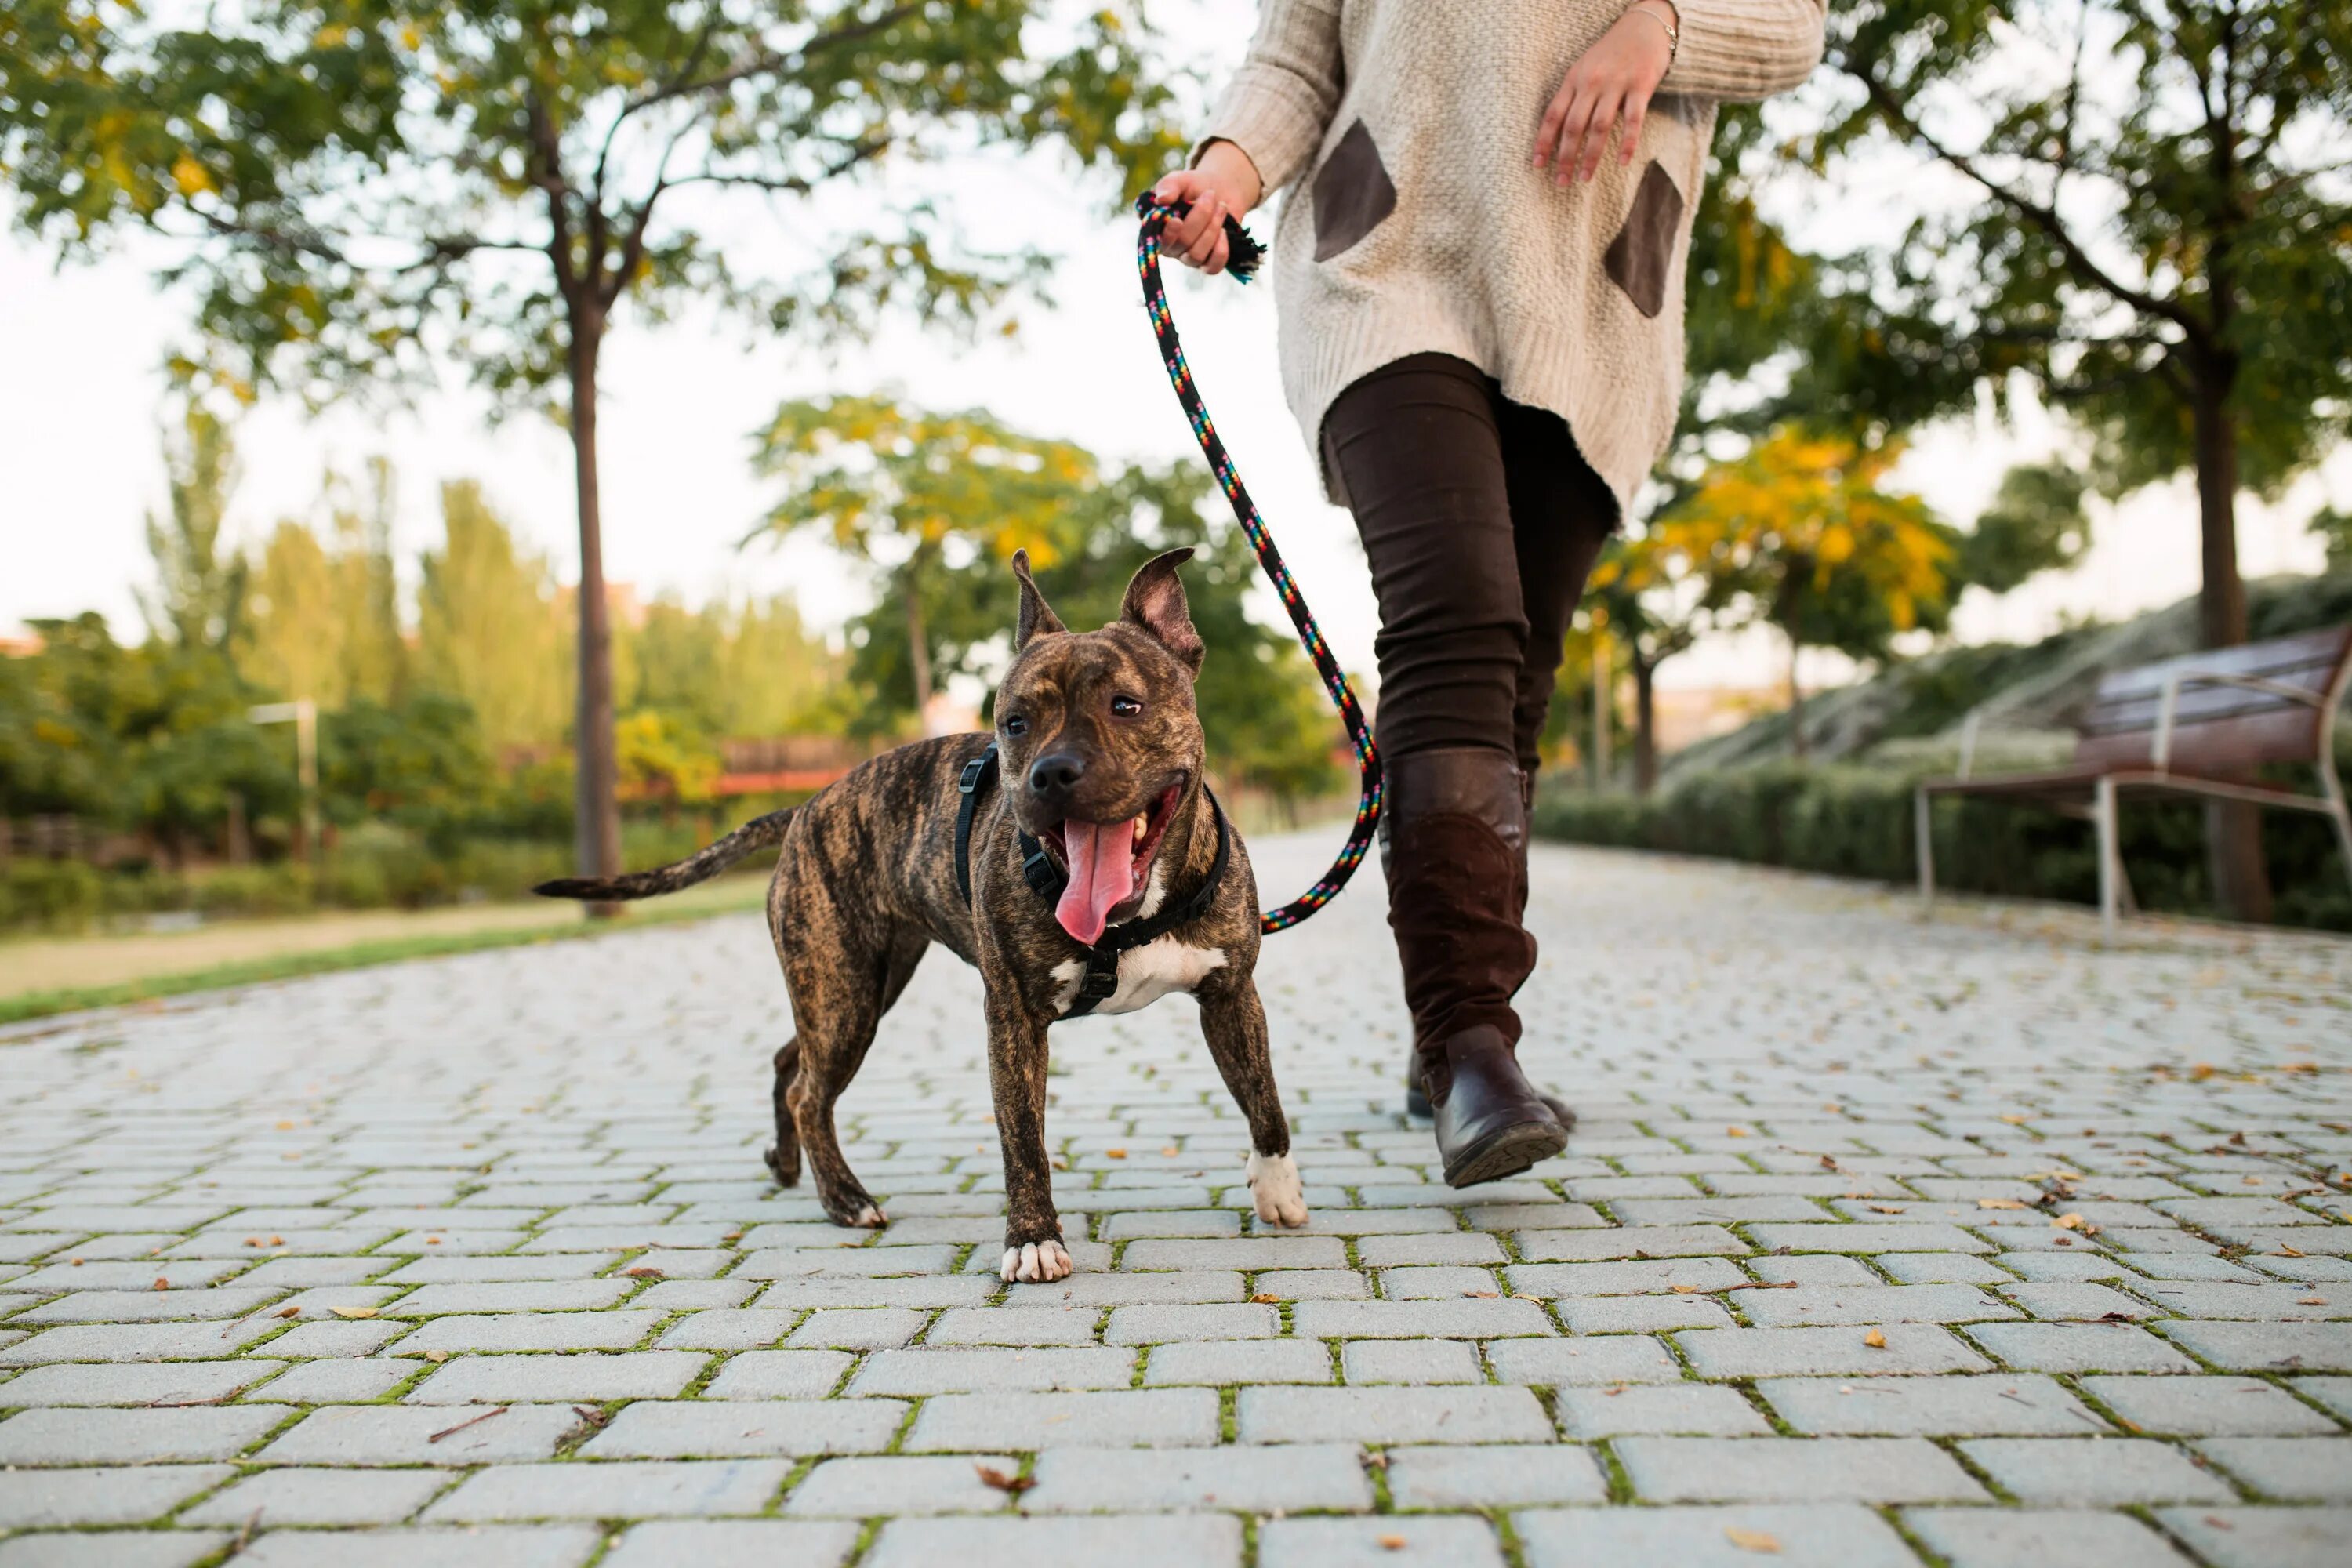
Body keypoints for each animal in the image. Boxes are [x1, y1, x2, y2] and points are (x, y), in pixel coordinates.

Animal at [536, 545, 1308, 1279]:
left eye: (1126, 705)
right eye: (1015, 723)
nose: (1050, 773)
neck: (1130, 916)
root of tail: (805, 808)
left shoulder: (1231, 995)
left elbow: (1264, 1098)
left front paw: (1277, 1190)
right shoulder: (1013, 1017)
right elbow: (1023, 1138)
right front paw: (1033, 1241)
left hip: (856, 988)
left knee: (793, 1060)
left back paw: (788, 1165)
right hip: (844, 994)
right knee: (811, 1091)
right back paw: (845, 1198)